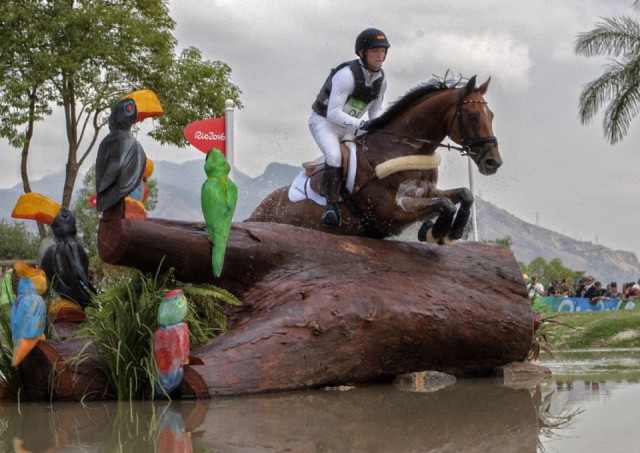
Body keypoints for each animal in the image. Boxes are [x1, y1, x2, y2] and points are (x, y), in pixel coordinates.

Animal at [248, 74, 502, 244]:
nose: (494, 162)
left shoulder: (426, 194)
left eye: (491, 115)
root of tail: (258, 210)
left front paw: (447, 231)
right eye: (473, 116)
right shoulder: (394, 210)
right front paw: (436, 232)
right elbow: (445, 204)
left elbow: (463, 194)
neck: (404, 147)